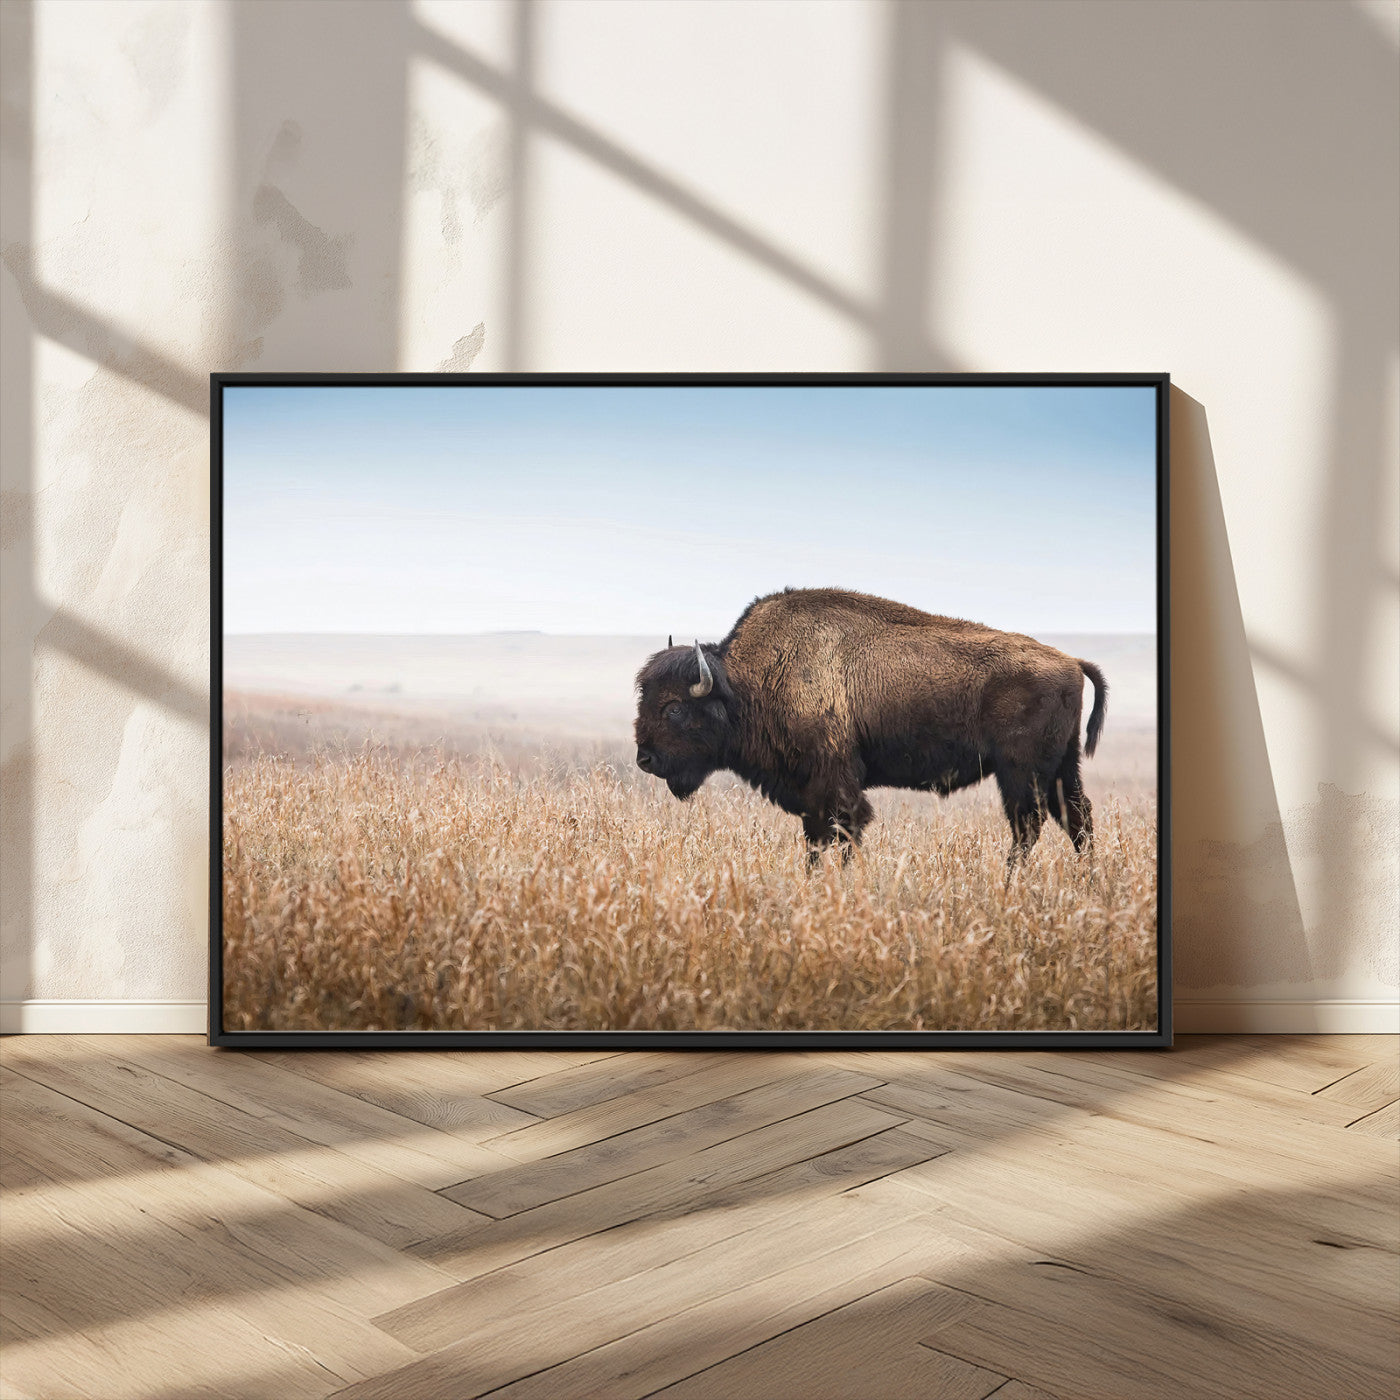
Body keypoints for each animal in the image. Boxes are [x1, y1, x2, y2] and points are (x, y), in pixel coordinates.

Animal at [634, 587, 1107, 866]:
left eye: (674, 708)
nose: (644, 759)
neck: (746, 682)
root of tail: (1070, 661)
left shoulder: (835, 785)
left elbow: (843, 833)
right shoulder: (811, 795)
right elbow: (816, 840)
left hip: (1020, 773)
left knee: (1029, 826)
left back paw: (1011, 883)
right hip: (1061, 768)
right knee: (1077, 819)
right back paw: (1086, 882)